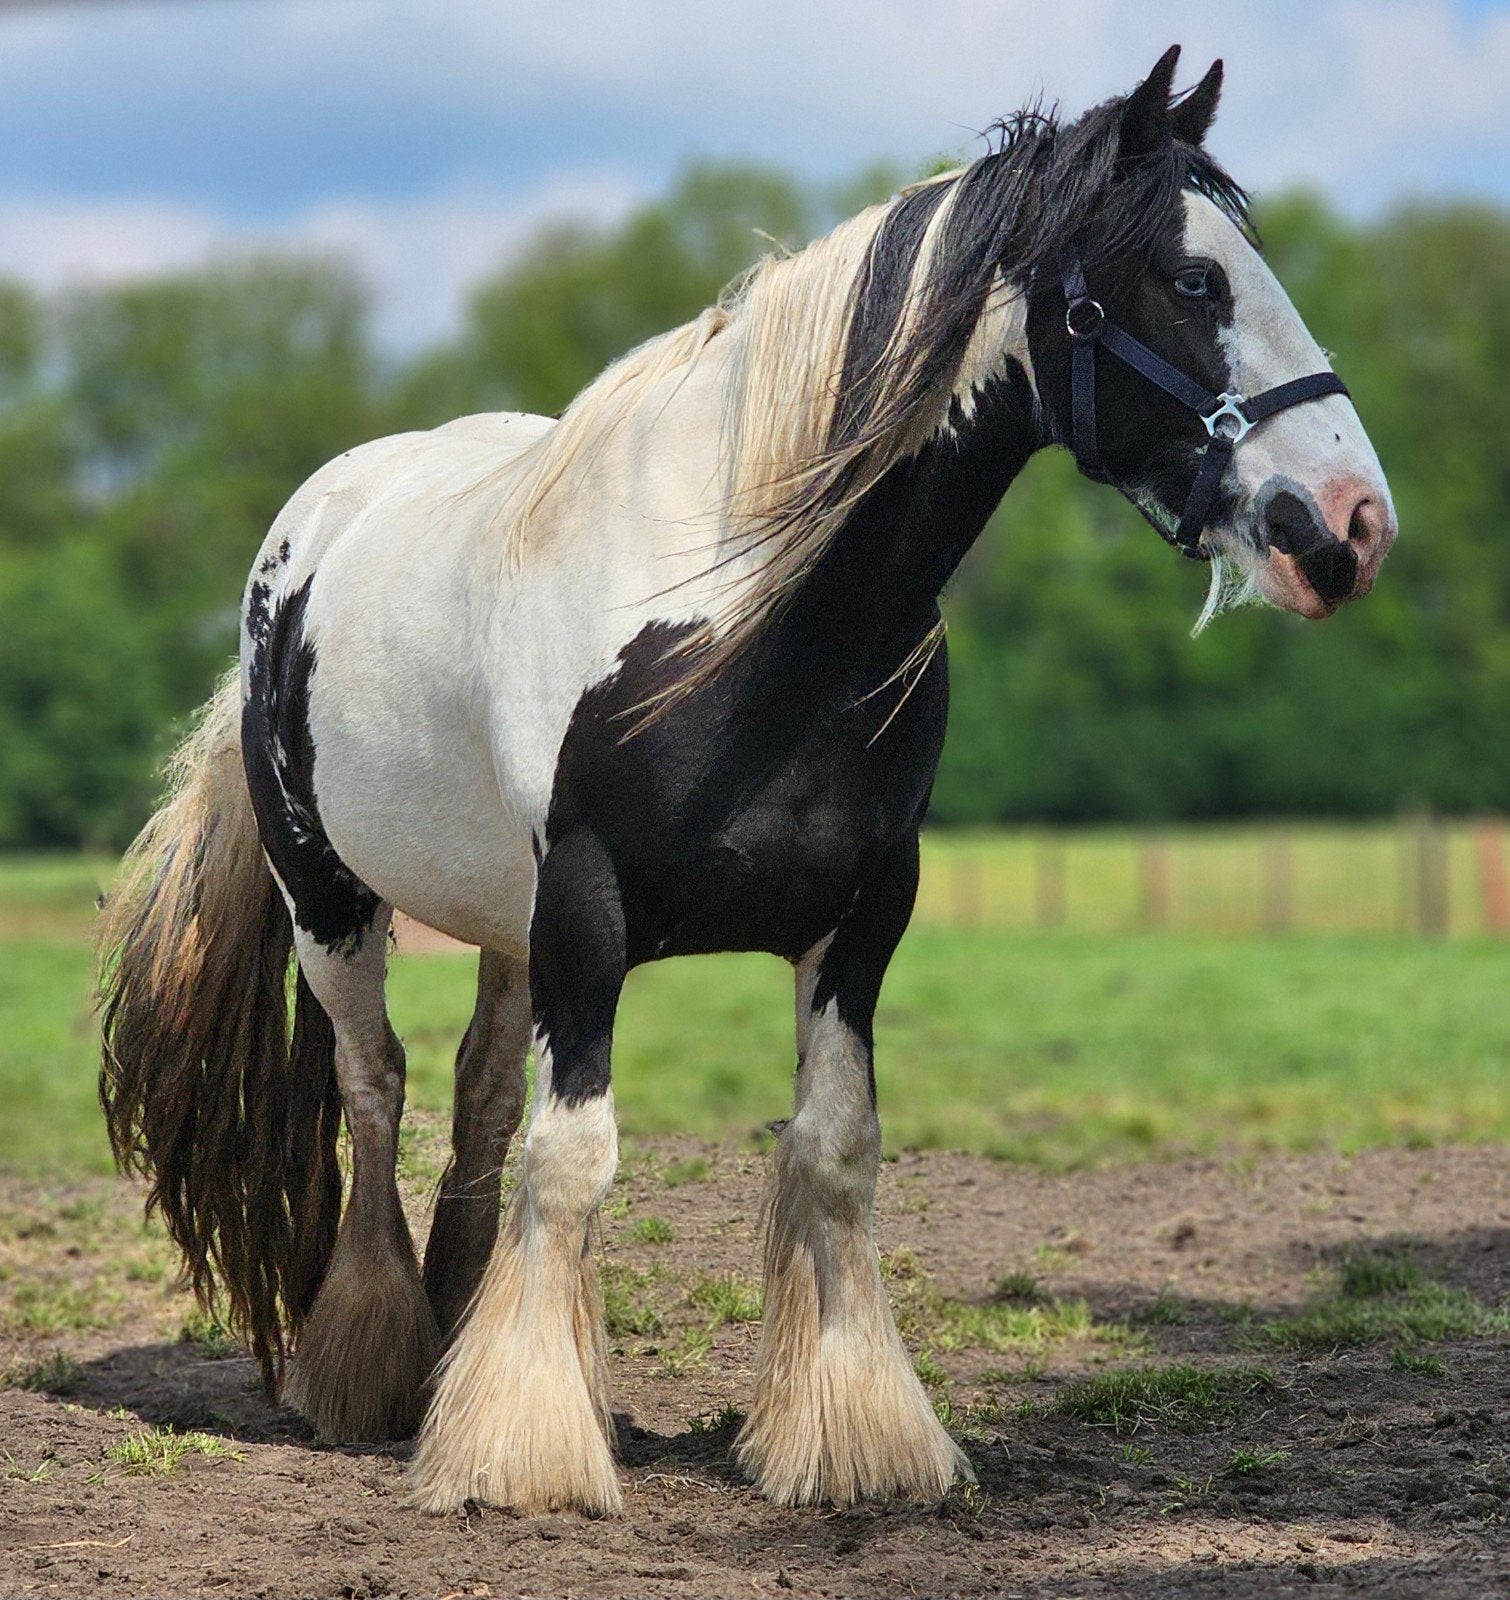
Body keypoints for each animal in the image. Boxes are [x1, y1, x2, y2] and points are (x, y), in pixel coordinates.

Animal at [99, 45, 1395, 1517]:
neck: (745, 616)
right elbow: (575, 1158)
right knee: (376, 1087)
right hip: (331, 901)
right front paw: (524, 1452)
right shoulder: (587, 912)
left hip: (499, 921)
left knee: (479, 1091)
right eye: (1193, 283)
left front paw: (851, 1436)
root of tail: (310, 527)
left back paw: (450, 1342)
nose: (1350, 525)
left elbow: (829, 1151)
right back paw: (373, 1367)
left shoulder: (860, 912)